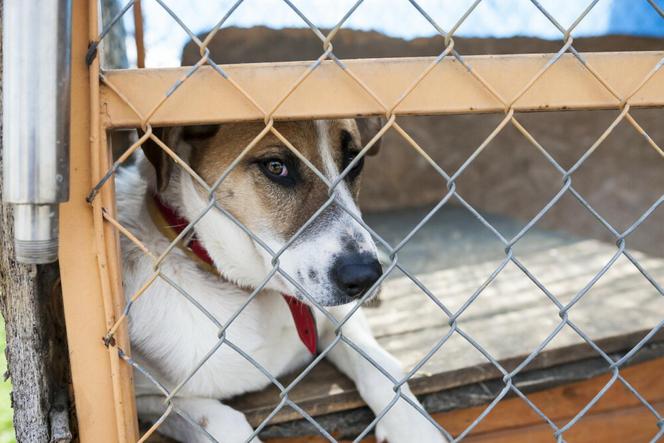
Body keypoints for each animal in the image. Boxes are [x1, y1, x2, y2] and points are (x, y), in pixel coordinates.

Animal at [115, 119, 446, 443]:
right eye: (276, 167)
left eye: (354, 160)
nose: (365, 278)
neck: (250, 289)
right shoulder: (149, 399)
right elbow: (223, 421)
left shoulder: (338, 317)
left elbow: (380, 363)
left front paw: (415, 430)